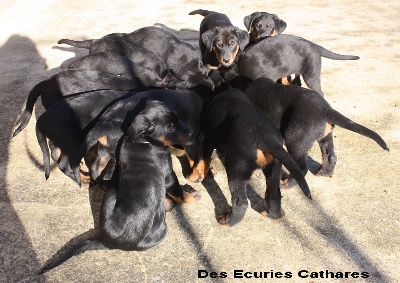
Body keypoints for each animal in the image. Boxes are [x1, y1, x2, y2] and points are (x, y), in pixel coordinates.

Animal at [203, 88, 312, 226]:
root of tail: (266, 137)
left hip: (238, 167)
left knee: (241, 202)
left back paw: (227, 220)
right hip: (274, 167)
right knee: (274, 195)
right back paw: (274, 214)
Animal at [242, 77, 390, 186]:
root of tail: (325, 109)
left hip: (295, 140)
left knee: (302, 168)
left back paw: (287, 184)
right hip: (324, 136)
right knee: (330, 156)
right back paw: (324, 172)